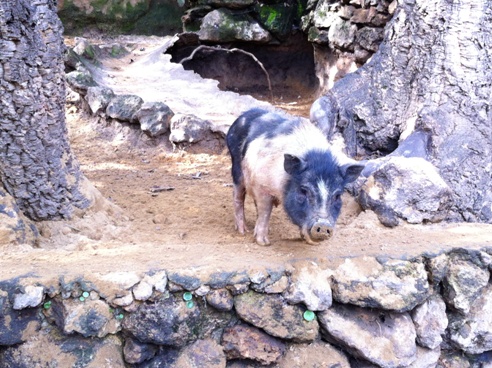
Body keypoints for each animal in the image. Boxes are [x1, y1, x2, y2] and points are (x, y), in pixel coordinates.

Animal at [225, 108, 364, 246]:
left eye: (338, 196)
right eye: (304, 190)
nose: (324, 225)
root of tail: (243, 116)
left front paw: (307, 241)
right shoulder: (262, 185)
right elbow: (265, 211)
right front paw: (264, 243)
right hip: (236, 168)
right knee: (238, 196)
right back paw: (243, 231)